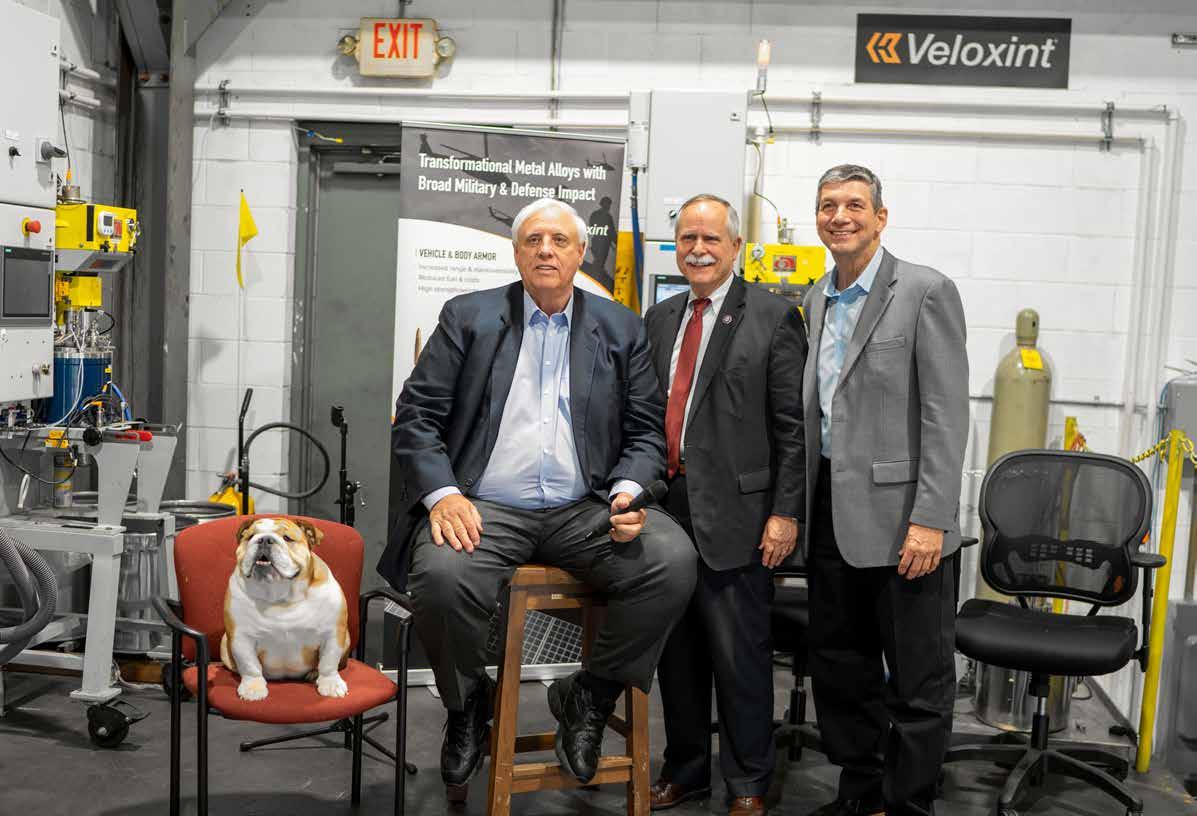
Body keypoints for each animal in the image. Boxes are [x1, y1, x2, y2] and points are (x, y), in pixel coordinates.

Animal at [220, 517, 350, 701]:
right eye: (250, 536)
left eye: (287, 538)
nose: (264, 539)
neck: (280, 596)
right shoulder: (241, 638)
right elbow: (249, 664)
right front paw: (253, 687)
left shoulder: (333, 634)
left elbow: (329, 662)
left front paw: (330, 684)